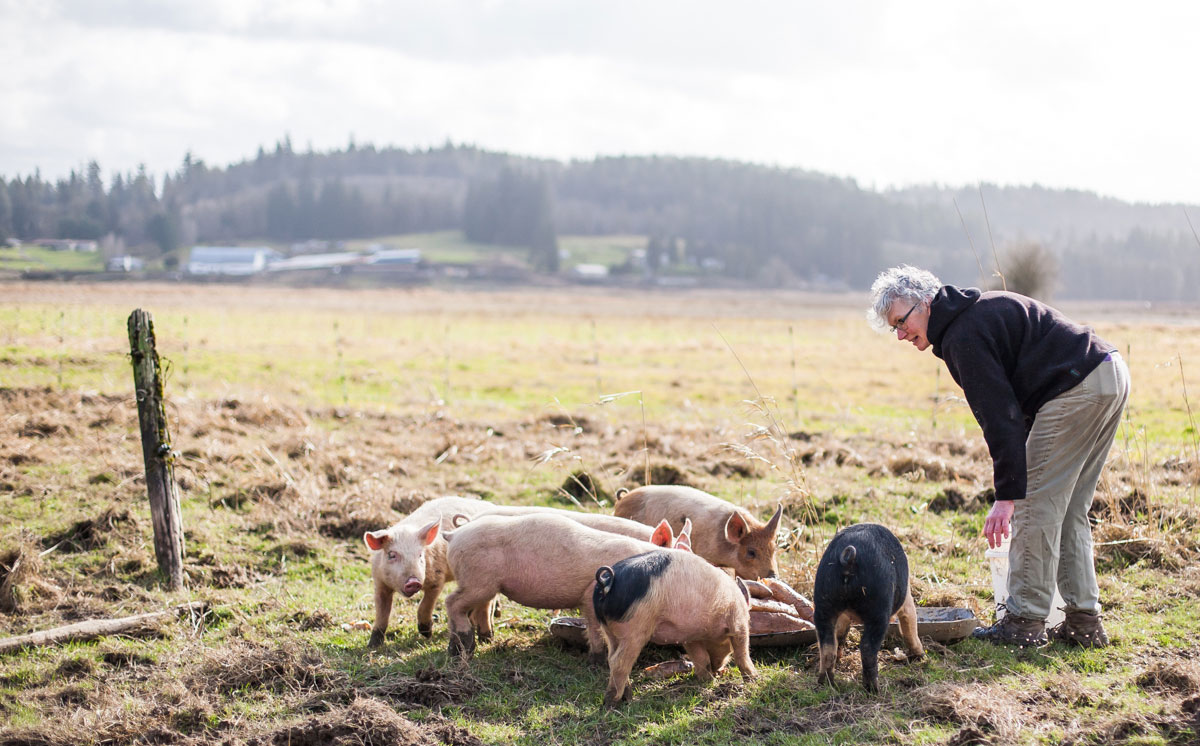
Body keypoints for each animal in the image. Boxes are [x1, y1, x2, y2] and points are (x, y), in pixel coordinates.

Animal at [811, 522, 921, 690]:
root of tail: (848, 558)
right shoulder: (906, 599)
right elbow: (910, 619)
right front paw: (921, 656)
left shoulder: (842, 615)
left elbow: (841, 632)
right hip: (878, 609)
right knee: (868, 647)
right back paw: (874, 690)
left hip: (823, 603)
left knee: (828, 645)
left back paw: (826, 683)